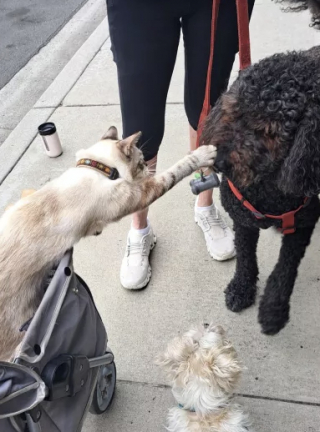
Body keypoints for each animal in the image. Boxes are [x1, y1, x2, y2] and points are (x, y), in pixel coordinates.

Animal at [0, 125, 216, 362]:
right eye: (142, 162)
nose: (148, 171)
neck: (96, 167)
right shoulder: (139, 193)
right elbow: (176, 170)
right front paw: (204, 154)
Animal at [201, 45, 320, 334]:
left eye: (269, 130)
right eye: (232, 110)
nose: (220, 162)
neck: (267, 190)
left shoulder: (302, 223)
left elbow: (285, 269)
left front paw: (273, 311)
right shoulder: (243, 219)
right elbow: (245, 258)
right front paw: (241, 290)